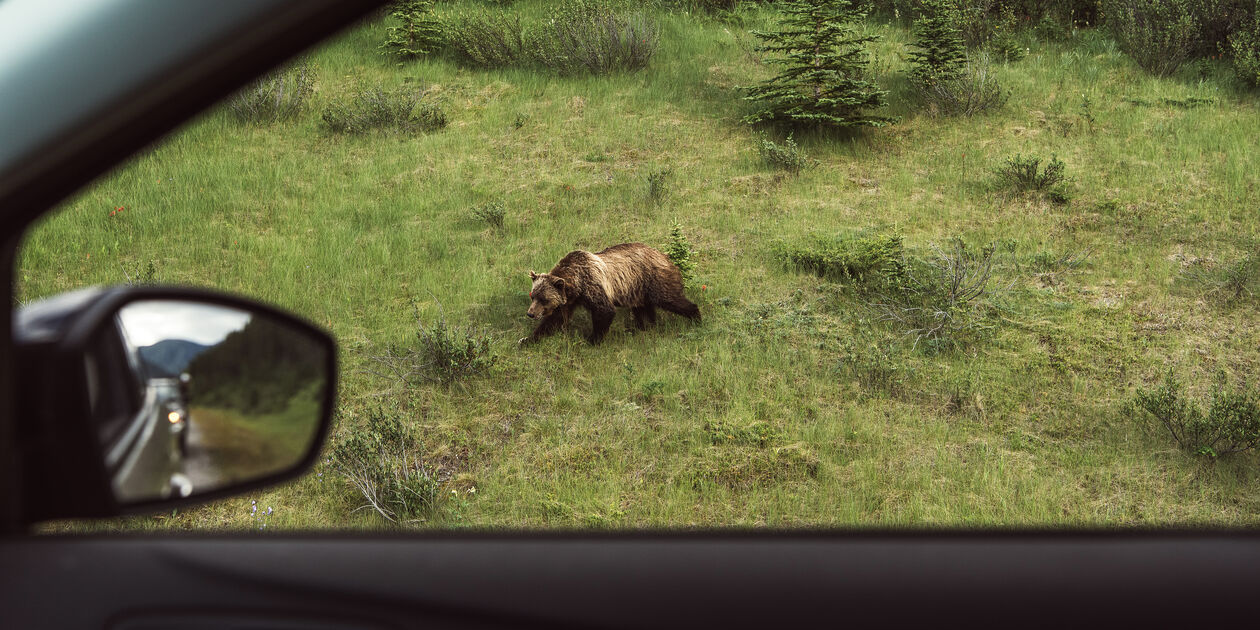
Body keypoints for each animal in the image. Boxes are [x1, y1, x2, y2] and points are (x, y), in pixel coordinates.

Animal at [523, 242, 701, 345]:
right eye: (533, 296)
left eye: (544, 299)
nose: (531, 313)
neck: (576, 286)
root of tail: (665, 256)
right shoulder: (568, 300)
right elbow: (555, 320)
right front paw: (528, 339)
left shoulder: (592, 285)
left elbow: (604, 310)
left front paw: (592, 340)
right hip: (638, 289)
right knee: (643, 309)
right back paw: (643, 327)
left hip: (655, 279)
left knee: (671, 299)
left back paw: (696, 317)